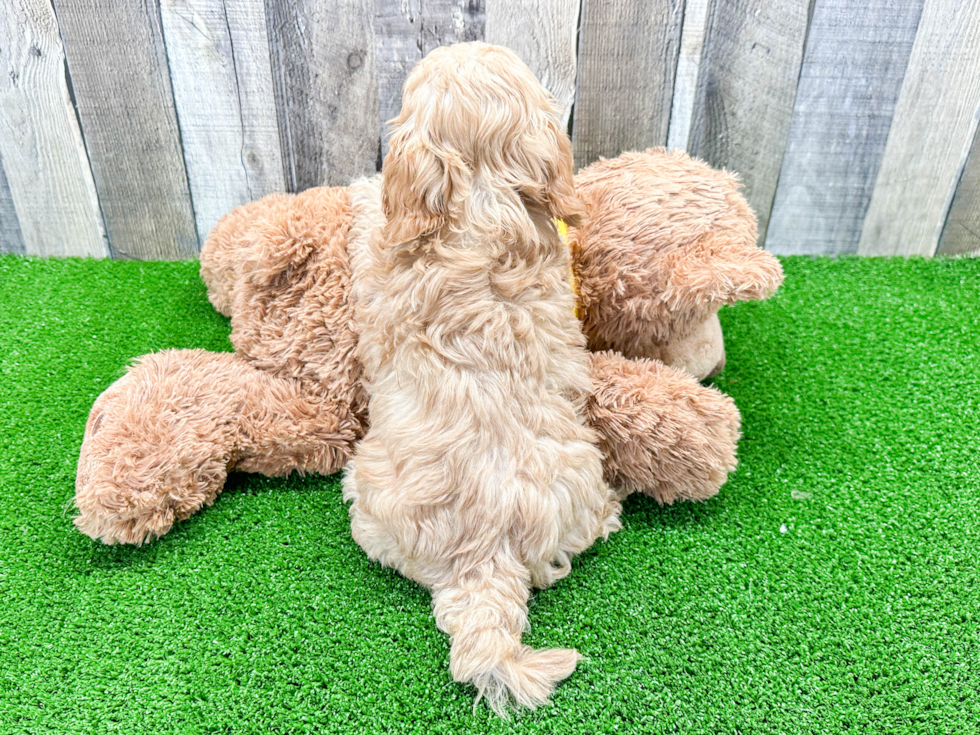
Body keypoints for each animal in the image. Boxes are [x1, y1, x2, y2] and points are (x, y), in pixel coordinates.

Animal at [344, 44, 620, 712]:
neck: (484, 198)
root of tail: (486, 551)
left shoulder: (381, 259)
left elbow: (373, 226)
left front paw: (363, 192)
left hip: (364, 489)